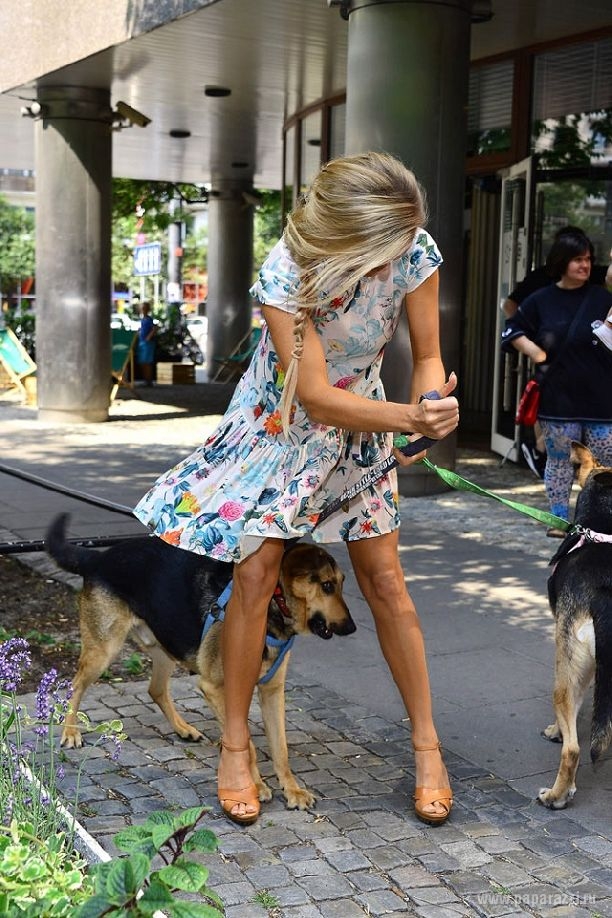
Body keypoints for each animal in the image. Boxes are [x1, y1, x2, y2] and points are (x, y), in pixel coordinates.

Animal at [45, 516, 356, 812]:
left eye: (342, 583)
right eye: (327, 586)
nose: (352, 628)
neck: (273, 605)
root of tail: (99, 557)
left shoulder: (272, 692)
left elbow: (281, 749)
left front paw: (292, 790)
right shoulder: (216, 688)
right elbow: (247, 743)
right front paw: (255, 786)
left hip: (165, 647)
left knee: (156, 689)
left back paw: (184, 729)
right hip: (104, 650)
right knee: (75, 684)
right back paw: (70, 731)